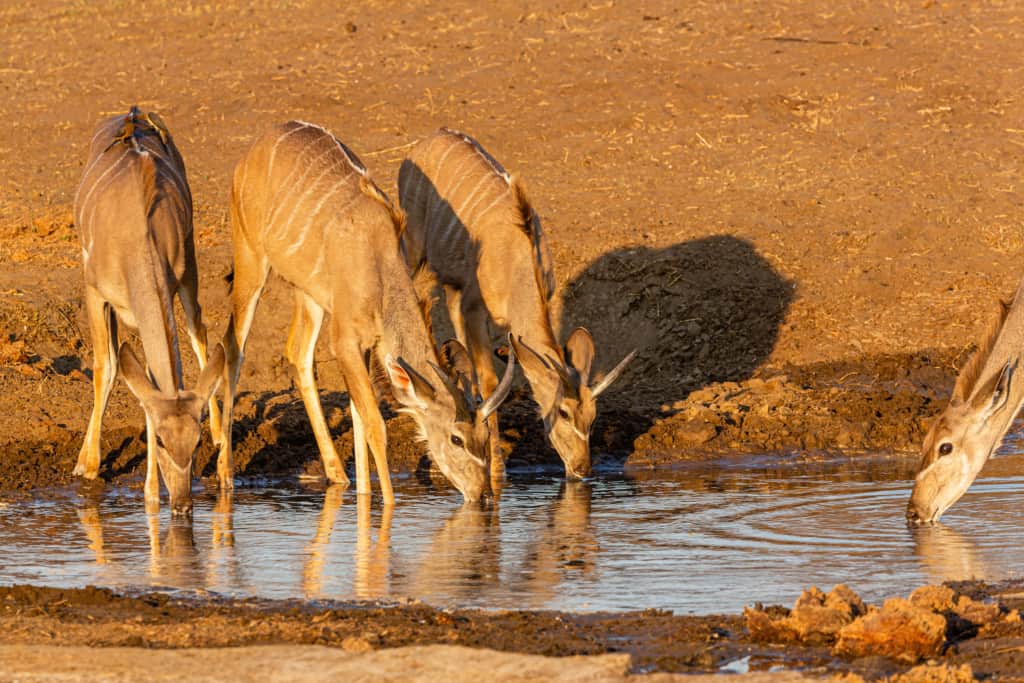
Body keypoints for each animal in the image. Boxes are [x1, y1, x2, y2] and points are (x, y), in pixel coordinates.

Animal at [73, 105, 224, 511]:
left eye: (196, 442)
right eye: (158, 440)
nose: (183, 503)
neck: (135, 237)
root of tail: (133, 113)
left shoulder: (166, 292)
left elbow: (160, 377)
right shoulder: (95, 292)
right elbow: (108, 368)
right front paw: (89, 467)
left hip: (189, 266)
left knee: (198, 332)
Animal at [221, 122, 516, 505]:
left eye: (485, 437)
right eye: (456, 438)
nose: (482, 494)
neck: (379, 269)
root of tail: (257, 146)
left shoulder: (363, 345)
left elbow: (359, 416)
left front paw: (362, 494)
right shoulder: (345, 341)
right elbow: (375, 423)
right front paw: (388, 503)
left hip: (308, 295)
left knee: (298, 353)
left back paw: (336, 473)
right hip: (251, 259)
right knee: (234, 349)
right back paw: (225, 474)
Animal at [397, 127, 630, 481]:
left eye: (592, 416)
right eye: (563, 412)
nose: (581, 468)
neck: (518, 261)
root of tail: (428, 140)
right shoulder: (474, 307)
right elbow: (491, 382)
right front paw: (496, 469)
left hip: (452, 284)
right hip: (412, 249)